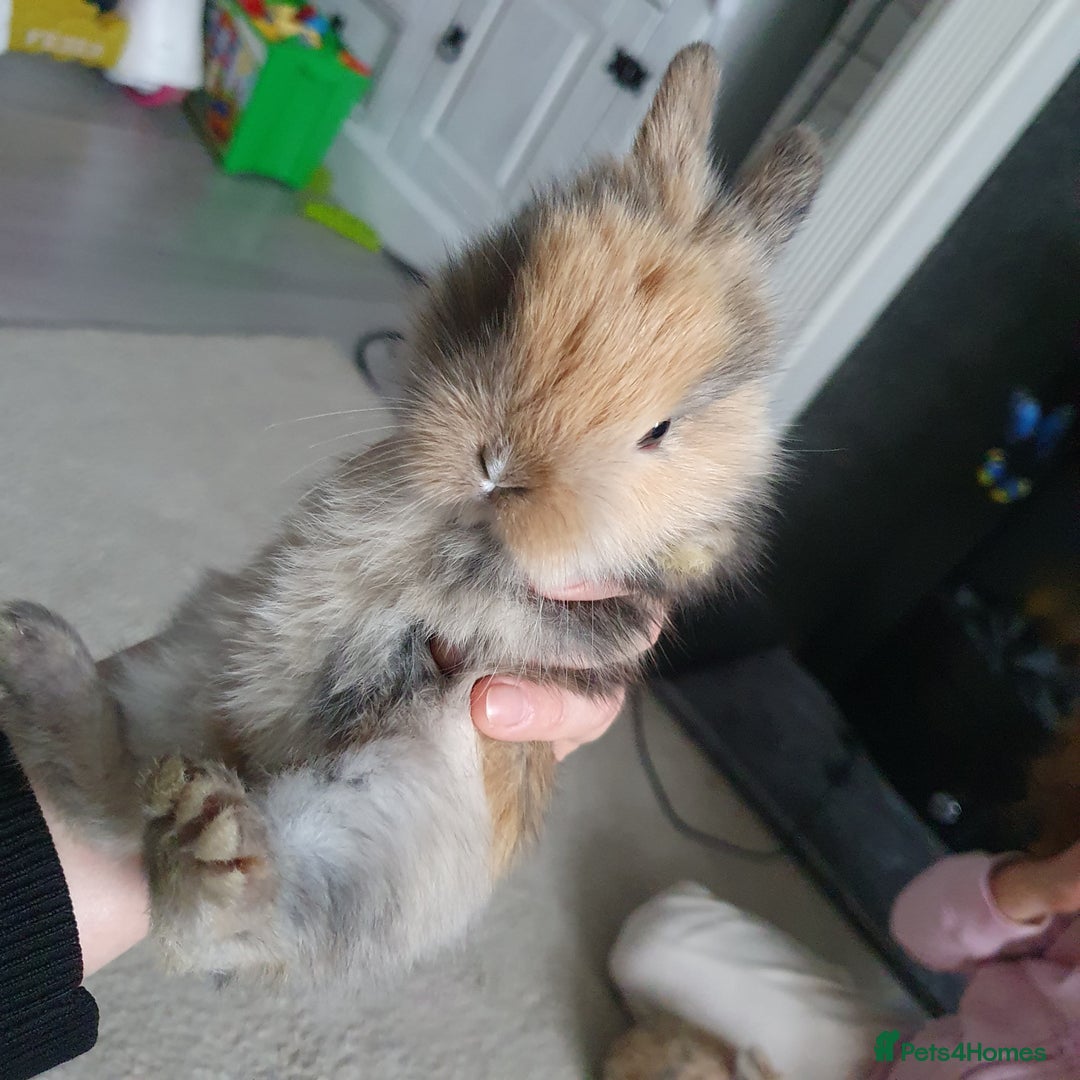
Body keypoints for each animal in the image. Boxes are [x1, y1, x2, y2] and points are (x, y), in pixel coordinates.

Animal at [0, 43, 822, 988]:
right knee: (111, 791)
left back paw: (206, 838)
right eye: (508, 298)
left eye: (661, 430)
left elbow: (525, 609)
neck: (460, 525)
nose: (497, 467)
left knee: (222, 893)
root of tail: (233, 757)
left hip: (394, 811)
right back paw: (47, 661)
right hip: (193, 656)